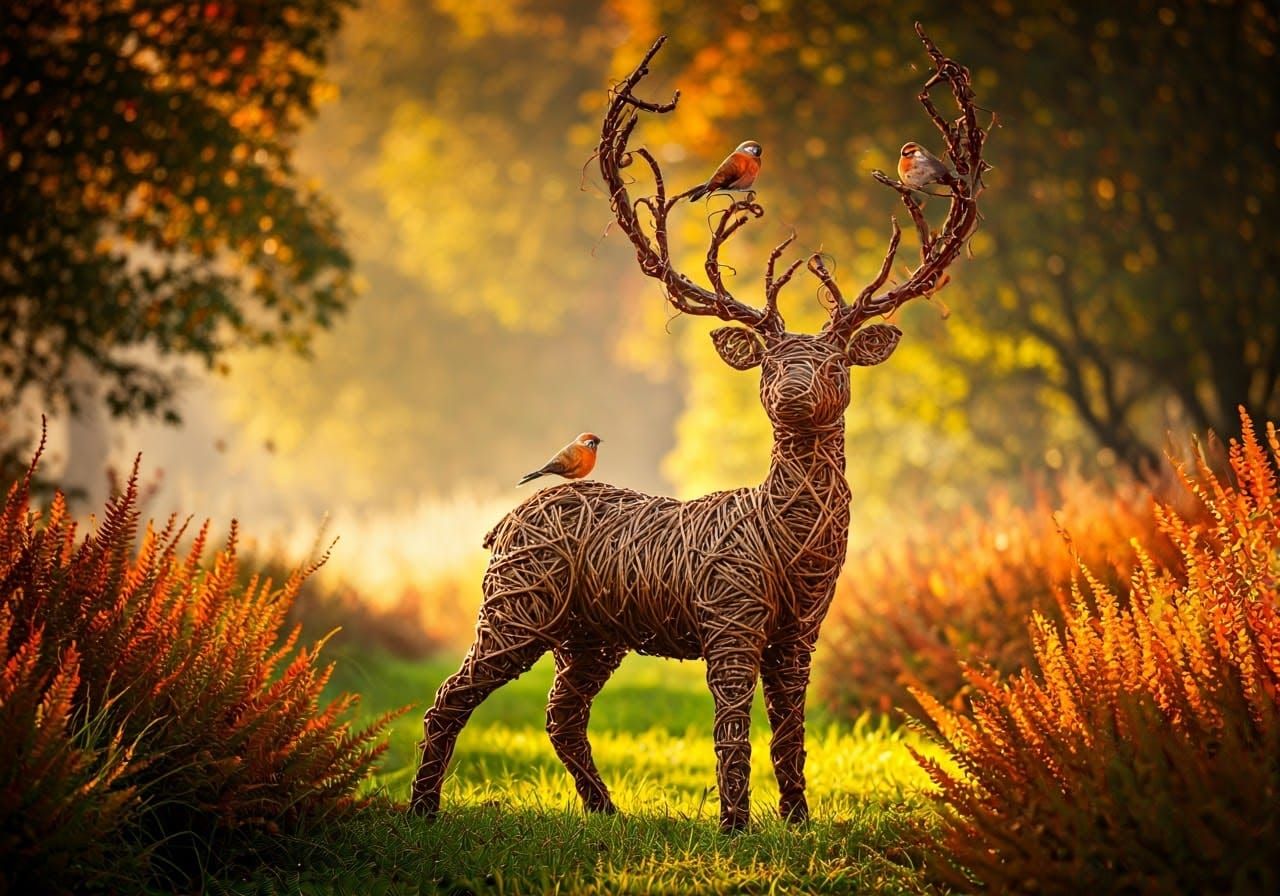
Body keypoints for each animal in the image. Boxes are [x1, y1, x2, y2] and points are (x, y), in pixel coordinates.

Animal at [411, 26, 989, 832]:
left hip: (590, 635)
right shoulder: (730, 613)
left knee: (562, 713)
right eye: (768, 363)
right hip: (515, 604)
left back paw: (604, 810)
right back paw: (422, 809)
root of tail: (502, 525)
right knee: (450, 697)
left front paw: (798, 819)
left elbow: (791, 733)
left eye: (835, 364)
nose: (792, 394)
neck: (789, 545)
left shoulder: (801, 631)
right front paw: (736, 824)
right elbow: (732, 731)